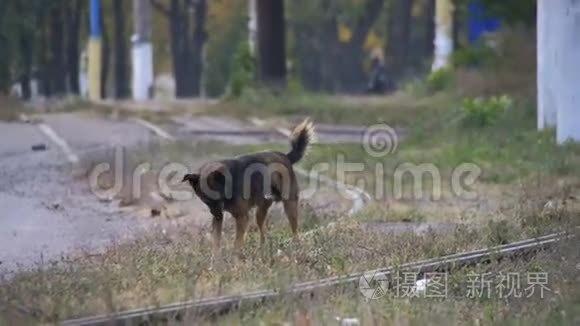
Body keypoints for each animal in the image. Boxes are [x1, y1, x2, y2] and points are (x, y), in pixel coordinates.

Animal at [182, 118, 314, 248]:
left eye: (217, 197)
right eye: (205, 199)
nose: (217, 215)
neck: (227, 185)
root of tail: (285, 156)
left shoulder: (242, 217)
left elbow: (237, 242)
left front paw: (235, 253)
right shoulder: (220, 218)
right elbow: (216, 241)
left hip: (289, 205)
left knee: (295, 229)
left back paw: (296, 244)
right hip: (262, 208)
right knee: (262, 229)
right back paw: (262, 247)